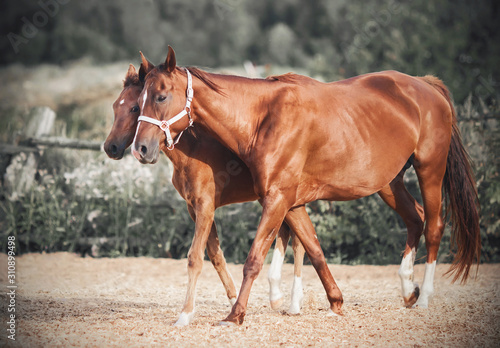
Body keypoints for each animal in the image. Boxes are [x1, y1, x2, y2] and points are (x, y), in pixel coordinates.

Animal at [103, 61, 306, 324]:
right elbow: (216, 255)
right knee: (289, 234)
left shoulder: (205, 207)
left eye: (135, 107)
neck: (194, 149)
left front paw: (185, 315)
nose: (111, 147)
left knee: (298, 242)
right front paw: (233, 302)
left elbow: (195, 258)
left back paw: (293, 303)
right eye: (116, 105)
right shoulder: (195, 208)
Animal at [133, 46, 480, 326]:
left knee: (433, 226)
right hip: (389, 183)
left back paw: (424, 298)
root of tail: (426, 85)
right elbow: (313, 248)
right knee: (415, 219)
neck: (264, 118)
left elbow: (254, 259)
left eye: (161, 96)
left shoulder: (277, 198)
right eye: (138, 102)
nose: (141, 149)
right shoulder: (292, 202)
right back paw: (408, 289)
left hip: (429, 170)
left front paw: (235, 315)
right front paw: (335, 301)